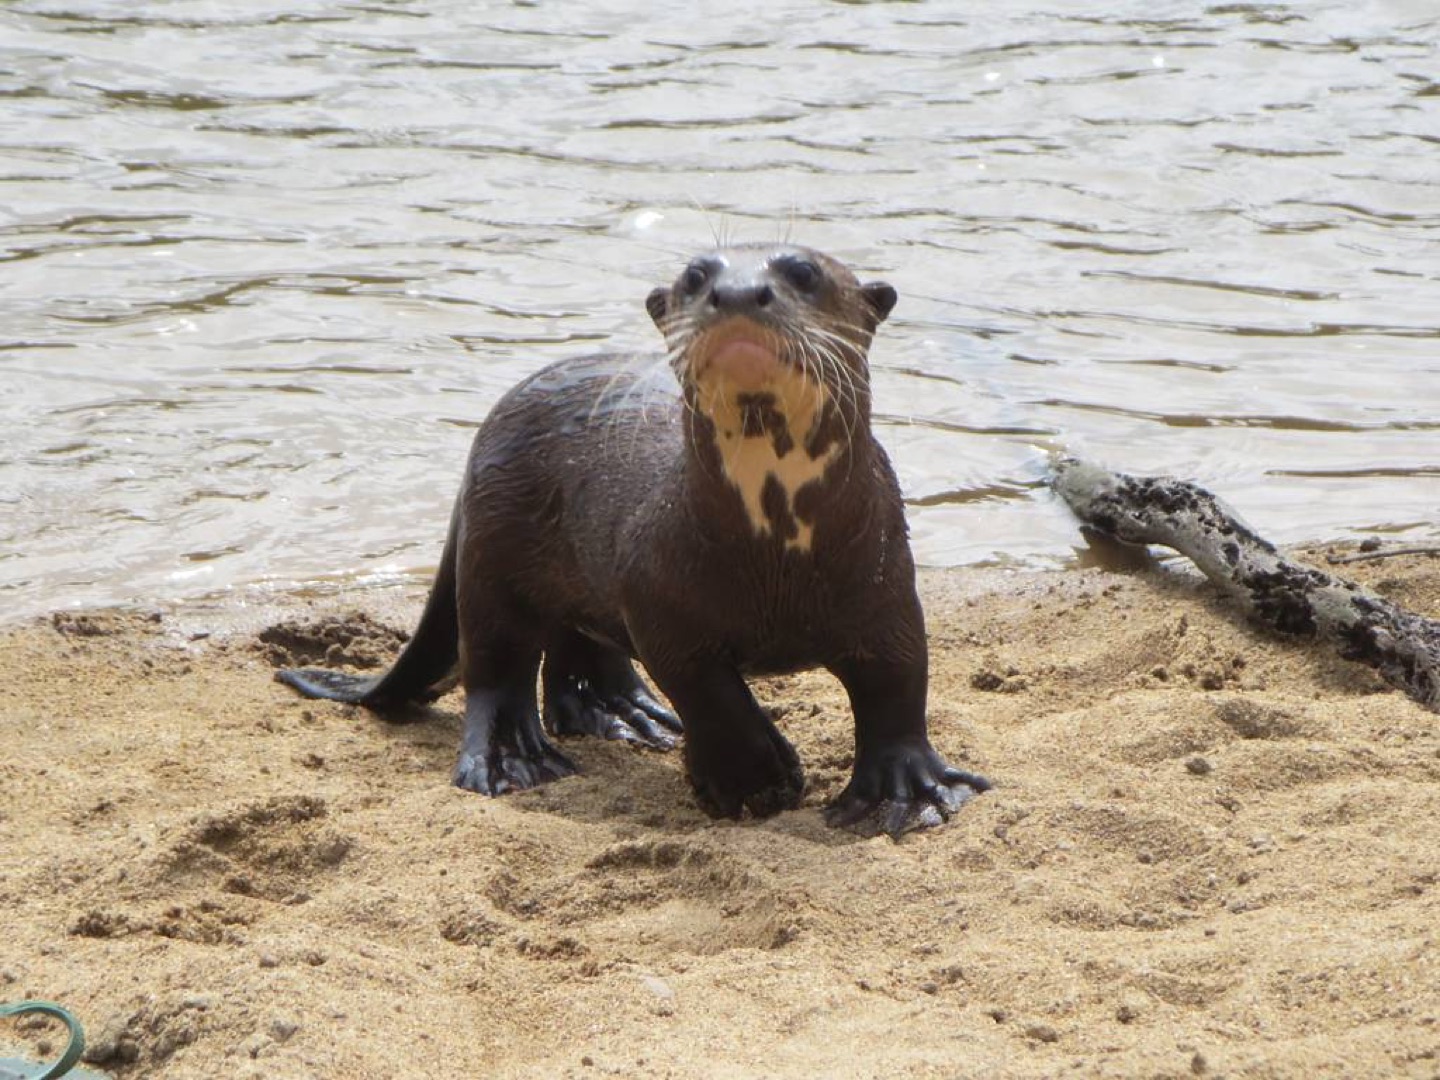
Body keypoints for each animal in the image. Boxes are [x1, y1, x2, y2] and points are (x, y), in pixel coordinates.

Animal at [278, 244, 990, 836]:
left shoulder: (887, 589)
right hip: (491, 552)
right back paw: (515, 761)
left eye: (803, 271)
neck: (776, 560)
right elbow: (707, 691)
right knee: (495, 666)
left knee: (578, 641)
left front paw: (905, 795)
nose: (737, 293)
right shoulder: (658, 597)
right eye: (696, 276)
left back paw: (626, 715)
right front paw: (753, 780)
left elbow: (898, 684)